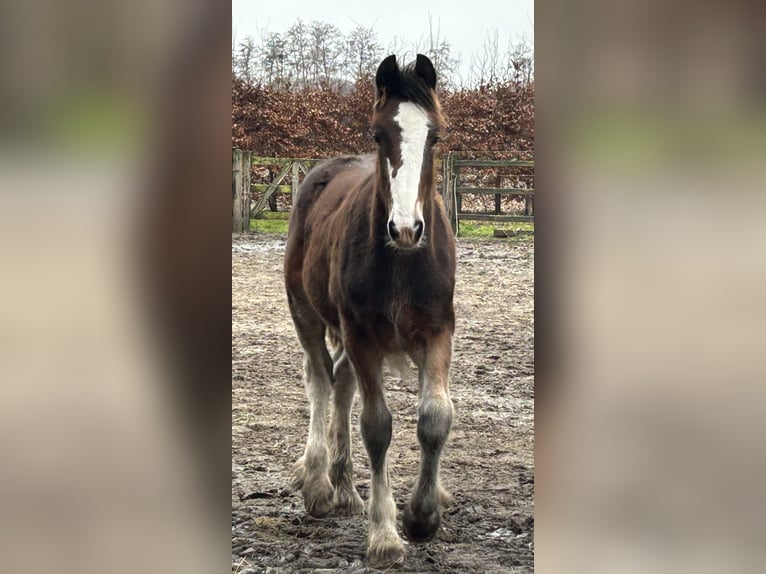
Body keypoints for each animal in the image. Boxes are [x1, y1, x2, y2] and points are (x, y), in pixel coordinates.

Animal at [286, 55, 456, 572]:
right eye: (378, 134)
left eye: (435, 136)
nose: (405, 228)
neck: (403, 259)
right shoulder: (363, 336)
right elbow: (377, 427)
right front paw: (384, 535)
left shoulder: (436, 331)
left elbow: (434, 417)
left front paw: (423, 514)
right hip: (307, 313)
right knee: (321, 381)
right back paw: (320, 483)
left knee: (341, 381)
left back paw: (344, 488)